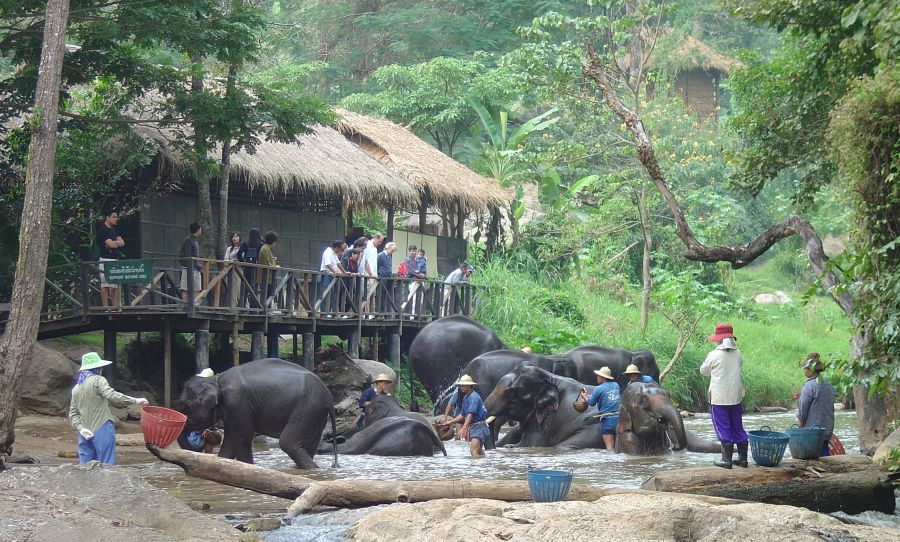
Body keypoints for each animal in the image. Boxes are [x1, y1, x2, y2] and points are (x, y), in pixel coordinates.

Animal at [177, 360, 338, 470]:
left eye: (184, 406)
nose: (202, 438)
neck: (216, 380)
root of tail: (329, 398)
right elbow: (231, 439)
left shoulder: (237, 403)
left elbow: (241, 437)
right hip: (315, 414)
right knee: (309, 446)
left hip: (306, 408)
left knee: (288, 443)